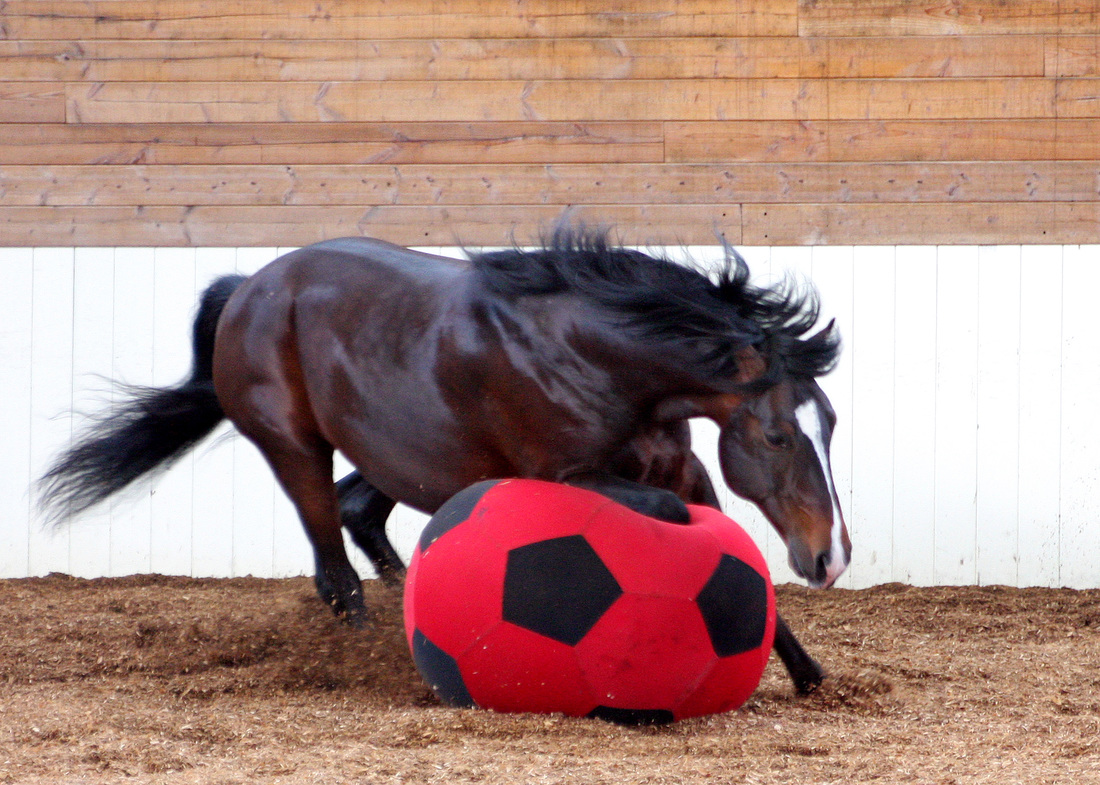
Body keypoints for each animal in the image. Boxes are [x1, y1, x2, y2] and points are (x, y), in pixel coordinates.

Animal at [39, 227, 848, 694]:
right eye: (780, 437)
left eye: (831, 425)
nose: (830, 556)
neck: (595, 353)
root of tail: (247, 291)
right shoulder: (569, 477)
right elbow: (683, 525)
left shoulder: (683, 469)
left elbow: (723, 538)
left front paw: (810, 675)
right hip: (295, 446)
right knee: (332, 564)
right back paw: (370, 652)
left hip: (405, 455)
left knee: (359, 511)